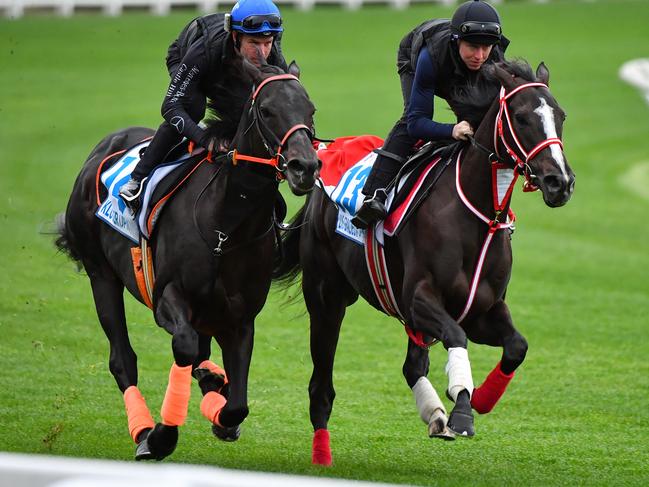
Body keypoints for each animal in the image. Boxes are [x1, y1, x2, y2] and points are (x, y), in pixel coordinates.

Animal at [55, 61, 318, 462]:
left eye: (310, 110)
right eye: (267, 110)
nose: (305, 166)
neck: (226, 226)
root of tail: (106, 144)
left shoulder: (240, 317)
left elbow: (236, 403)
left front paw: (220, 409)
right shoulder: (167, 295)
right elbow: (184, 345)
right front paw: (162, 436)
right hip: (101, 274)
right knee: (124, 359)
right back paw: (144, 430)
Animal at [274, 61, 572, 466]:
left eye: (561, 116)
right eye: (523, 117)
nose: (561, 182)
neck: (477, 218)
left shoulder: (482, 308)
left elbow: (517, 346)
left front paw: (480, 399)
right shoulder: (420, 298)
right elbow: (457, 337)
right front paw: (462, 410)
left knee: (412, 365)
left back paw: (434, 415)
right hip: (327, 296)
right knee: (321, 383)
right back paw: (322, 453)